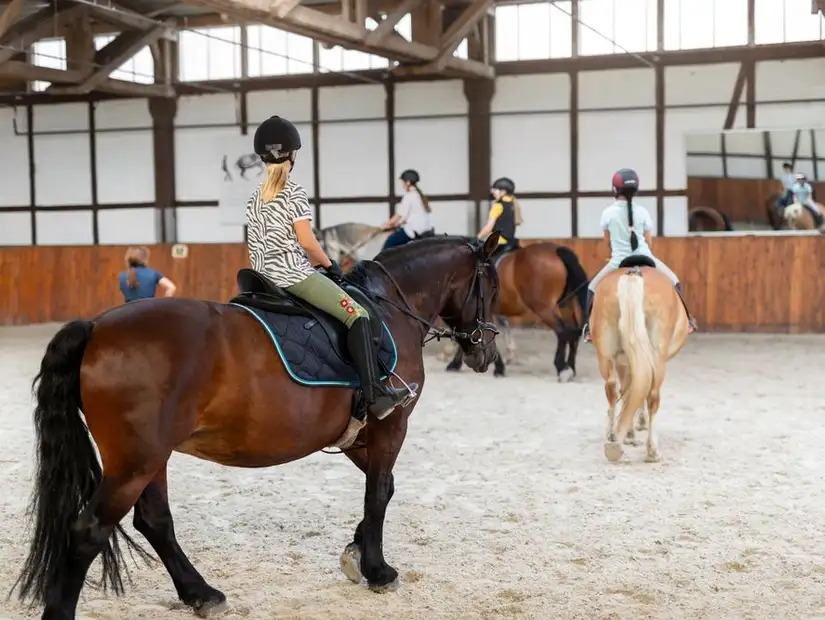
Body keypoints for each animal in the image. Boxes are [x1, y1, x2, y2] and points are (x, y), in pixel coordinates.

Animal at [11, 234, 502, 620]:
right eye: (493, 288)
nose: (486, 353)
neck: (390, 310)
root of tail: (96, 327)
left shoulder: (355, 435)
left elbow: (386, 489)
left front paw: (354, 554)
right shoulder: (390, 425)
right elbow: (379, 493)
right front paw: (377, 570)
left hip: (149, 457)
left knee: (154, 521)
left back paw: (202, 594)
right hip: (136, 460)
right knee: (89, 531)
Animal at [440, 243, 588, 380]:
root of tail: (556, 250)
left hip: (544, 307)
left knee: (562, 331)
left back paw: (562, 369)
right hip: (565, 305)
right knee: (574, 332)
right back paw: (571, 368)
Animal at [592, 254, 688, 462]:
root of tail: (633, 274)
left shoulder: (625, 360)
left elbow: (629, 390)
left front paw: (626, 433)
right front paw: (635, 428)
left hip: (606, 355)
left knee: (611, 388)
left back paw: (613, 438)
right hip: (657, 357)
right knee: (652, 395)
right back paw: (652, 450)